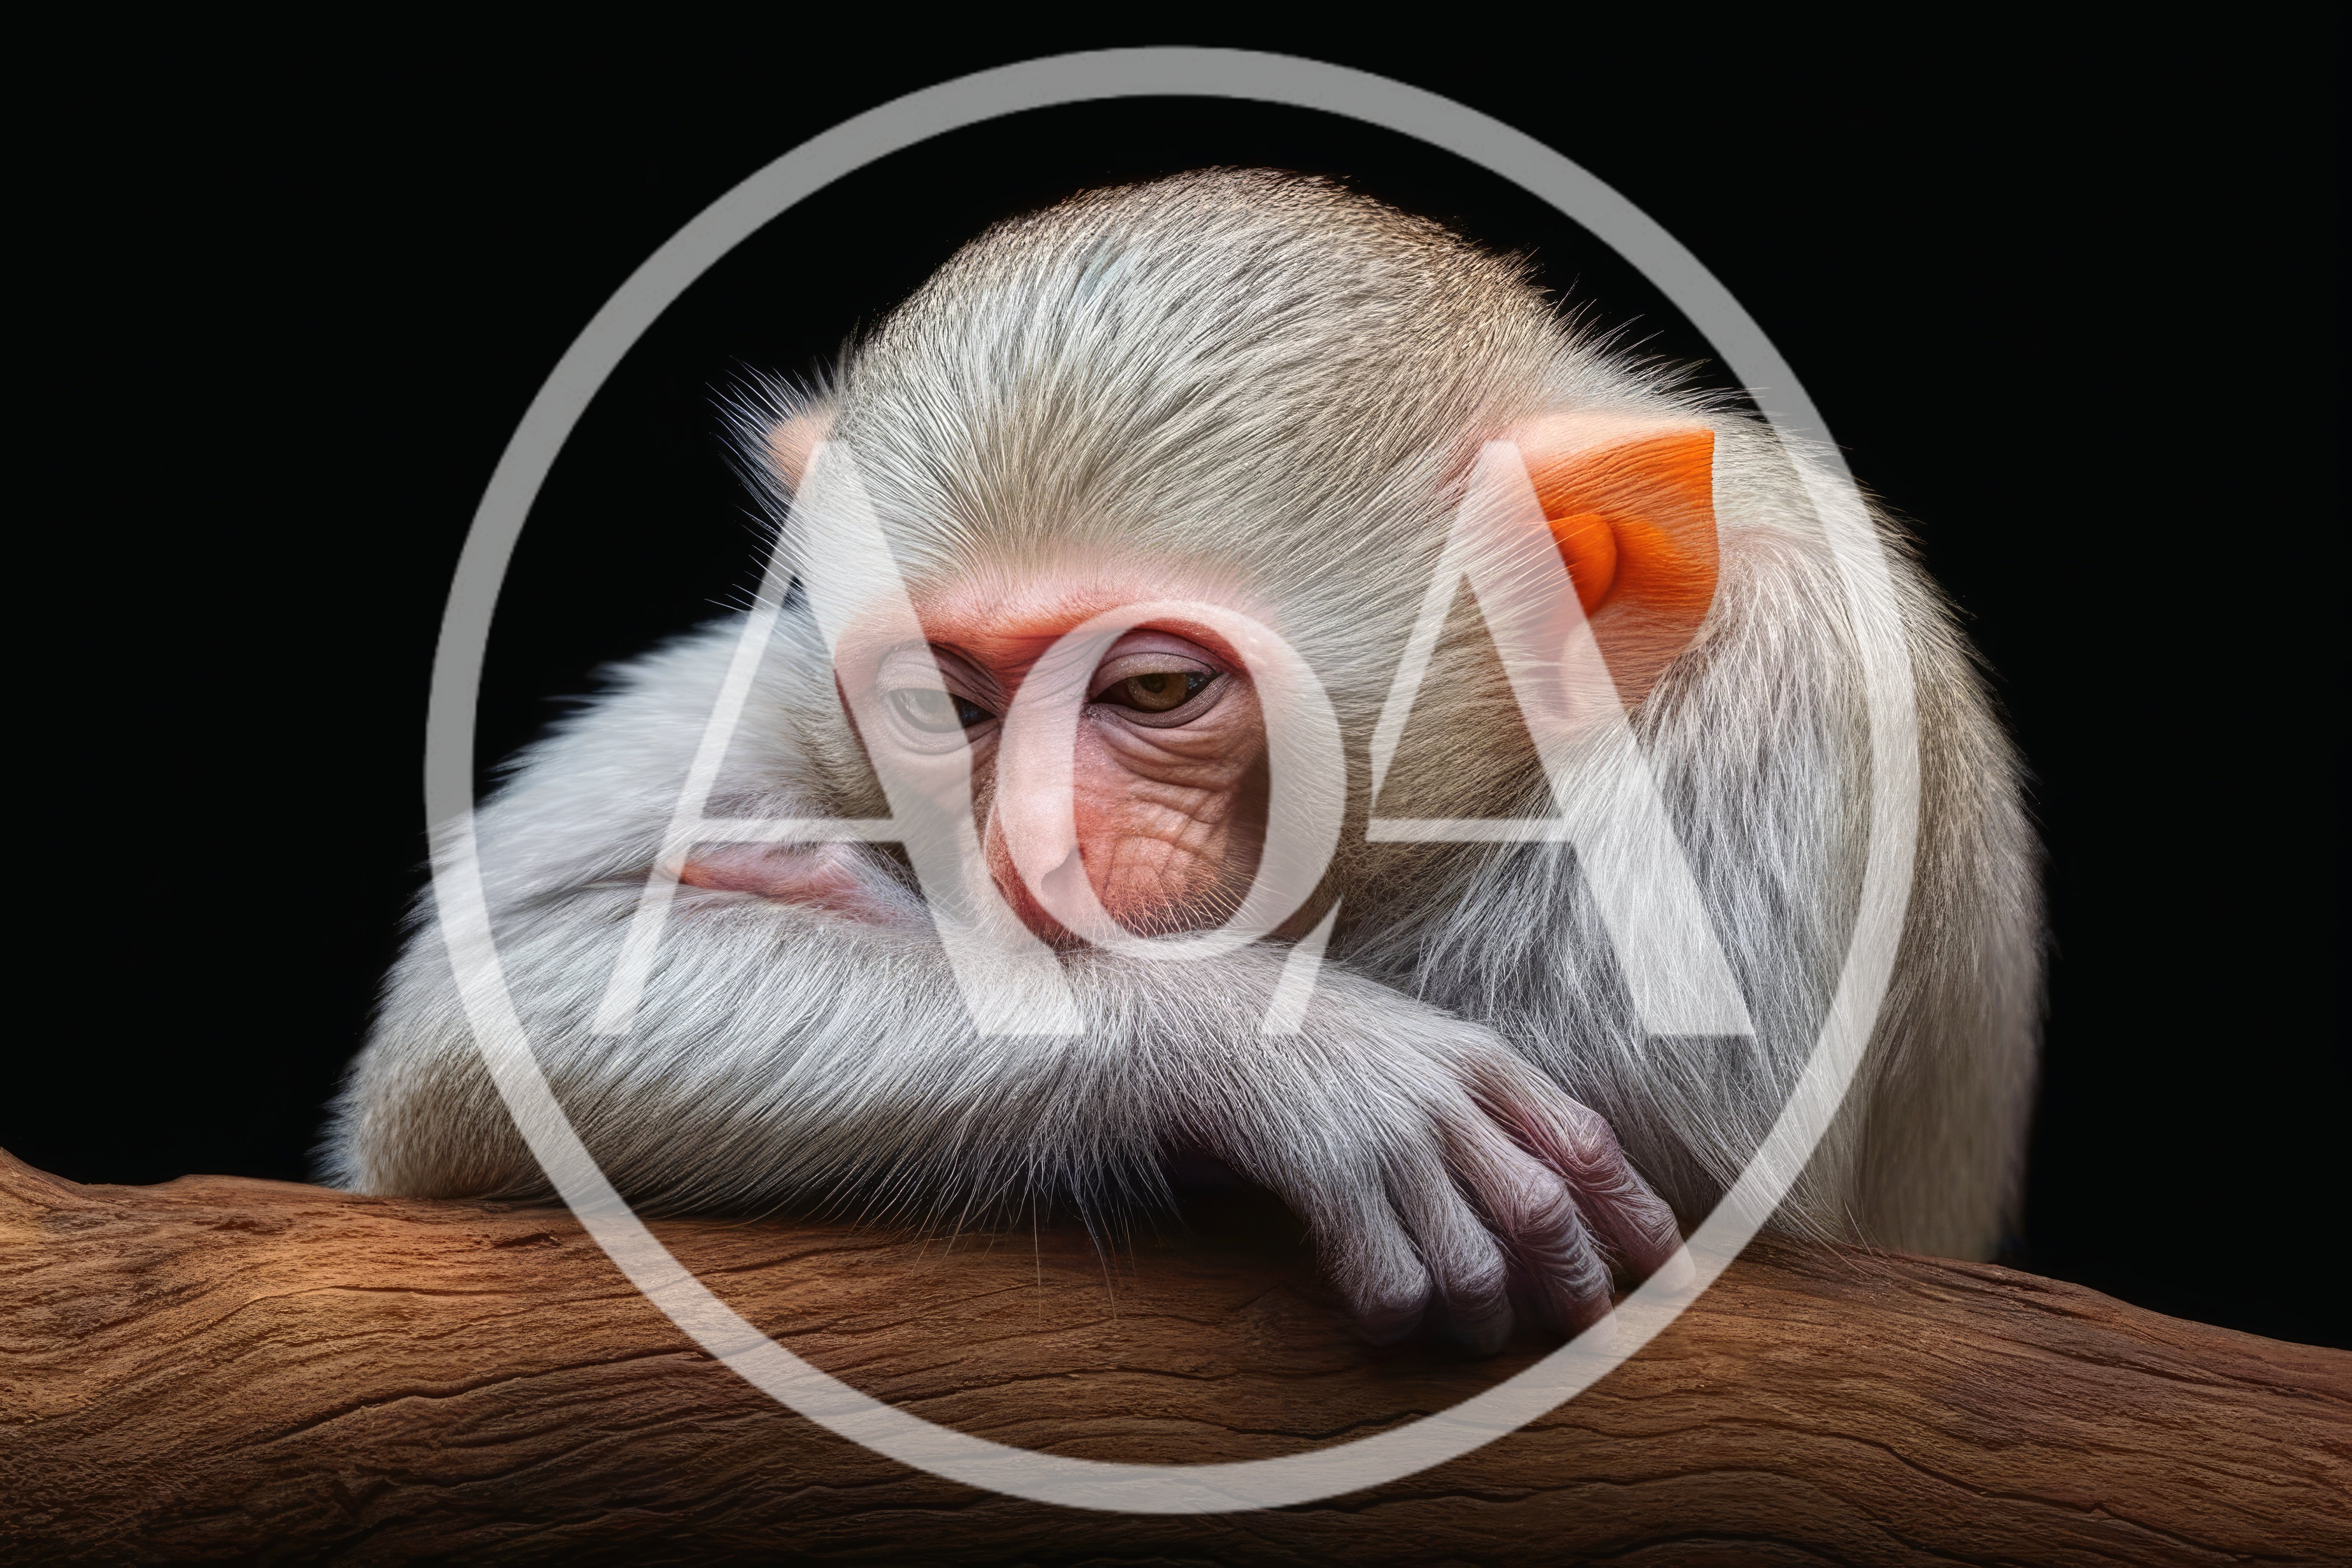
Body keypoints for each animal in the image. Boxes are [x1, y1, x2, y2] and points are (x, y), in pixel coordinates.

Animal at [323, 169, 2040, 1351]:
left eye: (1152, 687)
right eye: (945, 700)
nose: (1018, 852)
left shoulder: (1796, 672)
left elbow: (1667, 1151)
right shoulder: (810, 696)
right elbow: (480, 1021)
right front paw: (1271, 1055)